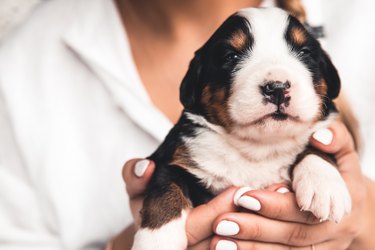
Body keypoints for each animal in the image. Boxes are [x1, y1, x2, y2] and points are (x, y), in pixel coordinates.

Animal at [131, 6, 352, 249]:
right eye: (231, 56)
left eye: (304, 53)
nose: (277, 87)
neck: (258, 148)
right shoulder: (173, 156)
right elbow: (165, 190)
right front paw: (156, 241)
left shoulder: (324, 133)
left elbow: (317, 146)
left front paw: (324, 185)